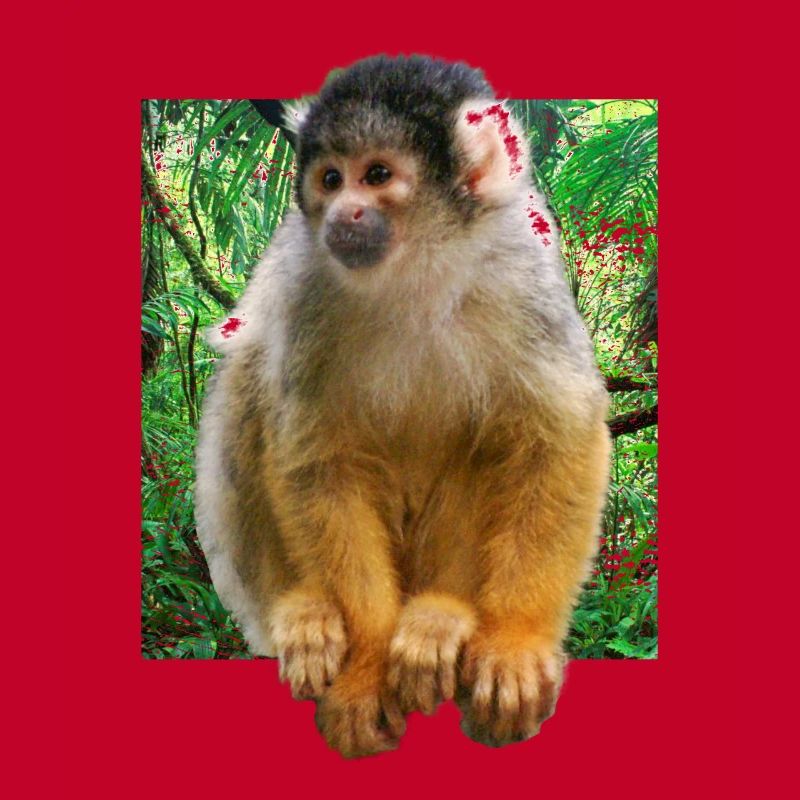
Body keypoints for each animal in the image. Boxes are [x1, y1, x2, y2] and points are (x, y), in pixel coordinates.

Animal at [195, 55, 610, 758]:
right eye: (330, 179)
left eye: (378, 176)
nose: (343, 213)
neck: (417, 269)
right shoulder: (307, 287)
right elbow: (318, 461)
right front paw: (365, 670)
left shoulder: (520, 273)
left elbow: (557, 438)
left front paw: (515, 640)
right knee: (251, 372)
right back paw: (300, 611)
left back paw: (442, 616)